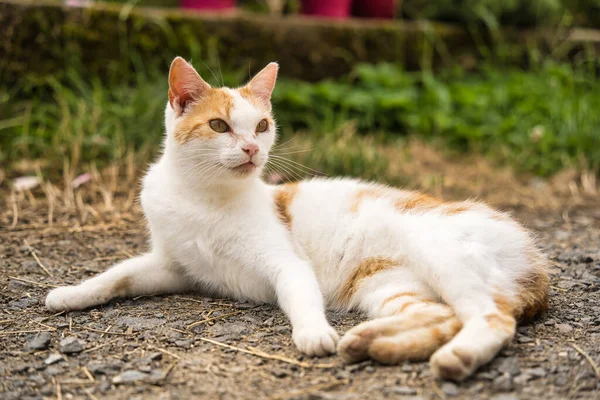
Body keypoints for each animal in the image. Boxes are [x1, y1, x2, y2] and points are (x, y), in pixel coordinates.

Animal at [45, 55, 548, 378]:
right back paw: (372, 341)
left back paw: (453, 358)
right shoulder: (172, 266)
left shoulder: (286, 263)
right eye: (219, 126)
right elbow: (119, 274)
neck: (203, 197)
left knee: (488, 318)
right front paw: (71, 293)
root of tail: (536, 256)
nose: (252, 148)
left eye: (262, 126)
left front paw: (313, 333)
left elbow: (301, 297)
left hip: (440, 255)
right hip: (389, 286)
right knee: (445, 317)